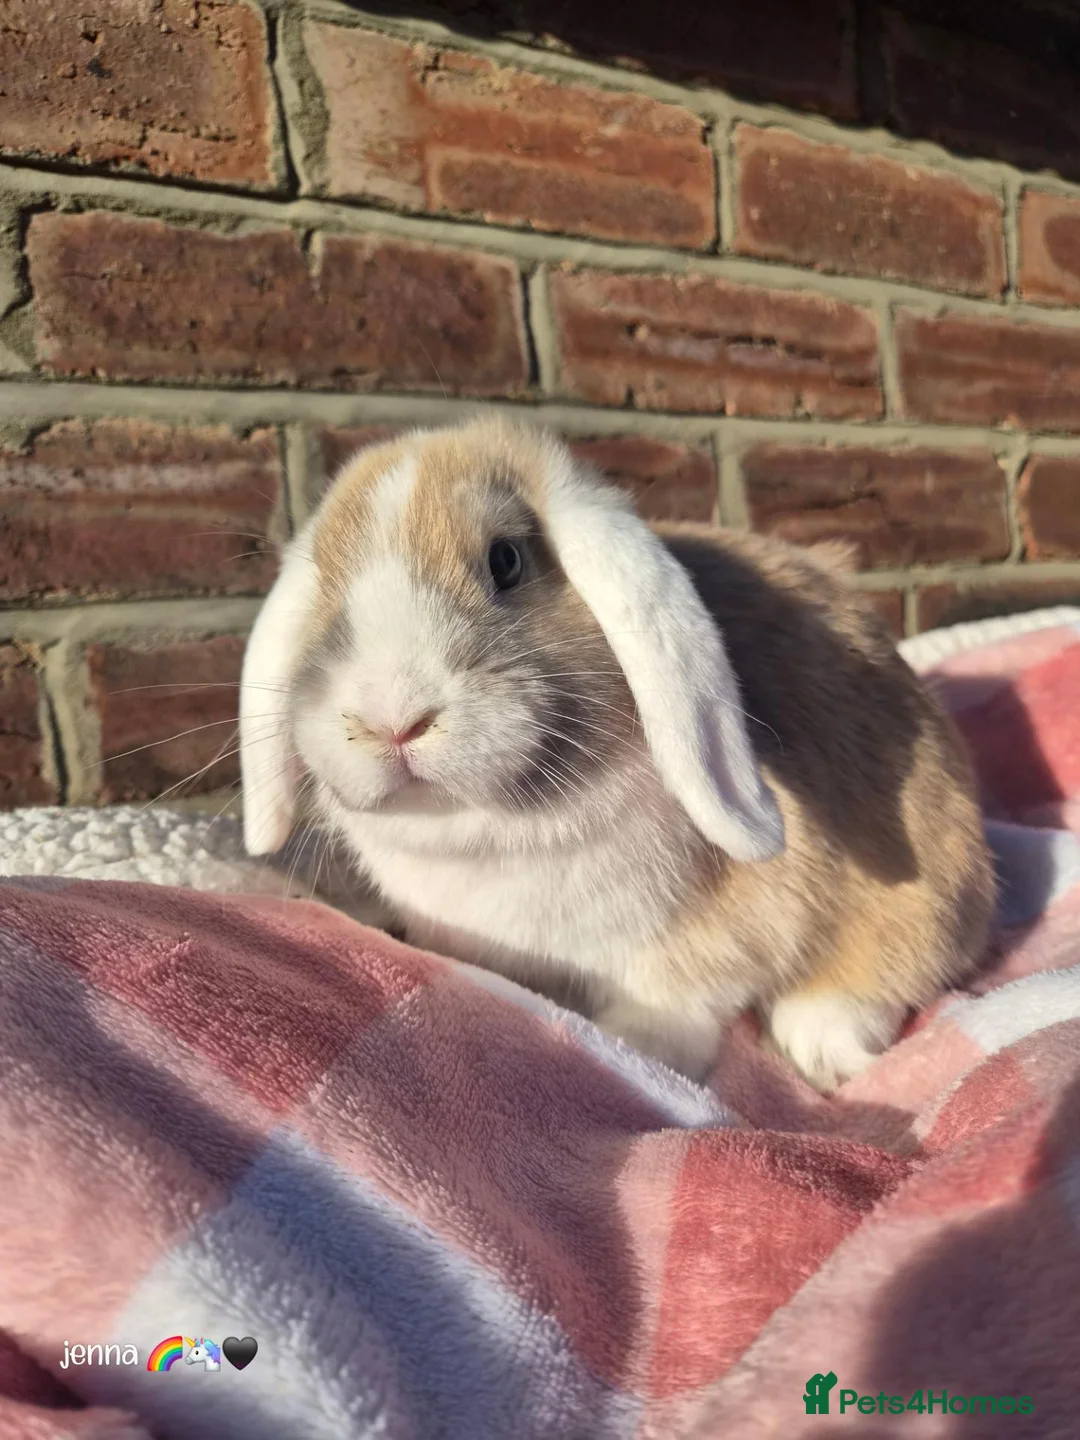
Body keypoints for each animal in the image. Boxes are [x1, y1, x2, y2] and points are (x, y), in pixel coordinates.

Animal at [240, 416, 994, 1091]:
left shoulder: (712, 942)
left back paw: (822, 1046)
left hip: (935, 874)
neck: (490, 839)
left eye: (507, 561)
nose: (392, 719)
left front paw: (633, 1047)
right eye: (326, 587)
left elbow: (681, 999)